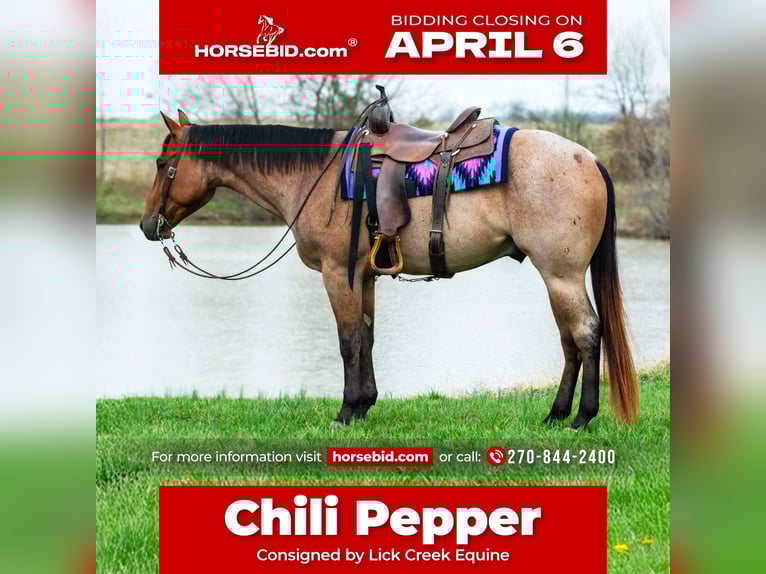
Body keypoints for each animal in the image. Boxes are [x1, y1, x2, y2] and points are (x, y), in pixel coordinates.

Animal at [139, 110, 638, 429]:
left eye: (163, 164)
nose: (147, 225)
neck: (317, 176)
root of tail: (590, 159)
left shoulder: (336, 273)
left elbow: (347, 342)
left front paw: (345, 412)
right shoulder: (363, 276)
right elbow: (367, 338)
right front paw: (365, 406)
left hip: (561, 275)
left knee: (587, 334)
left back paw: (581, 417)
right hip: (555, 278)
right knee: (570, 340)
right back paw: (555, 414)